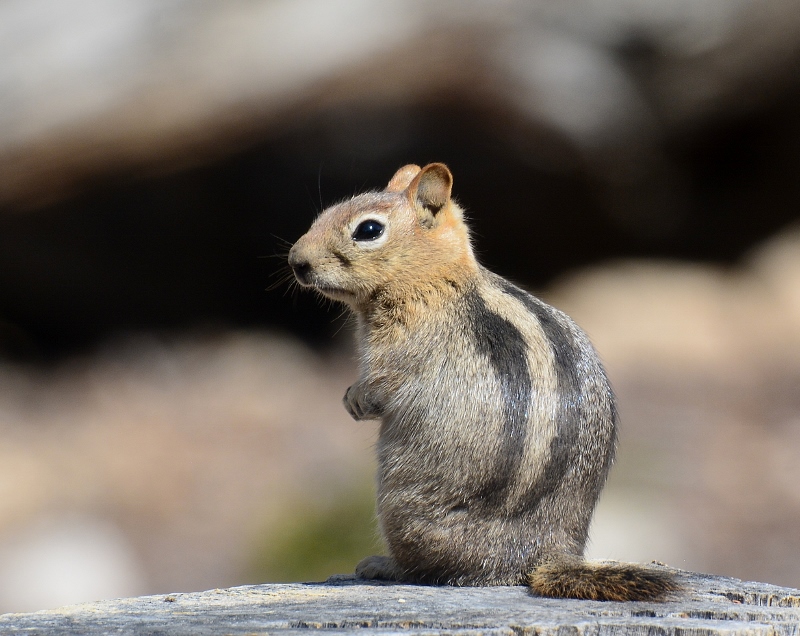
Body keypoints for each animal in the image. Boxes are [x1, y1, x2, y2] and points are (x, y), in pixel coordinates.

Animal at [290, 163, 680, 600]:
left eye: (369, 230)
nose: (296, 261)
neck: (436, 281)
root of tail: (542, 554)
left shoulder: (397, 354)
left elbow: (380, 387)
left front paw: (355, 400)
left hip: (397, 506)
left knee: (429, 568)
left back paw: (382, 565)